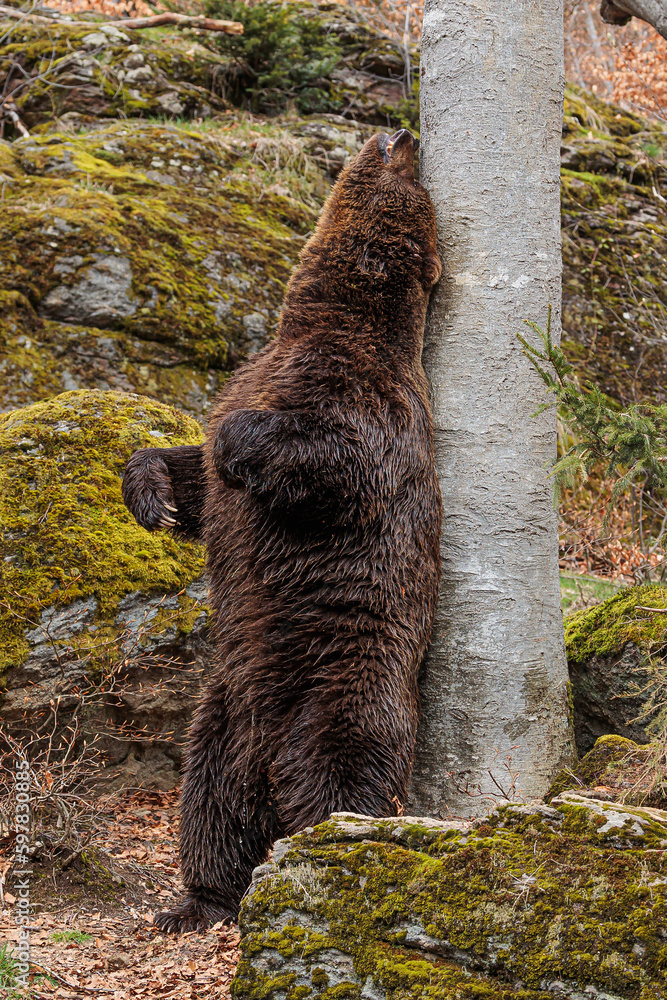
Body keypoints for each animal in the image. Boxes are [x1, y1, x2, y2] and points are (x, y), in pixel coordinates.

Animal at [121, 129, 444, 932]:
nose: (400, 133)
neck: (314, 321)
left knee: (345, 779)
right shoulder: (254, 375)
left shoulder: (370, 403)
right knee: (208, 808)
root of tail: (269, 765)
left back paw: (327, 854)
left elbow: (335, 461)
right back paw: (195, 902)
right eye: (387, 152)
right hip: (221, 713)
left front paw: (240, 441)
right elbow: (197, 478)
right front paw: (153, 496)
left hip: (342, 689)